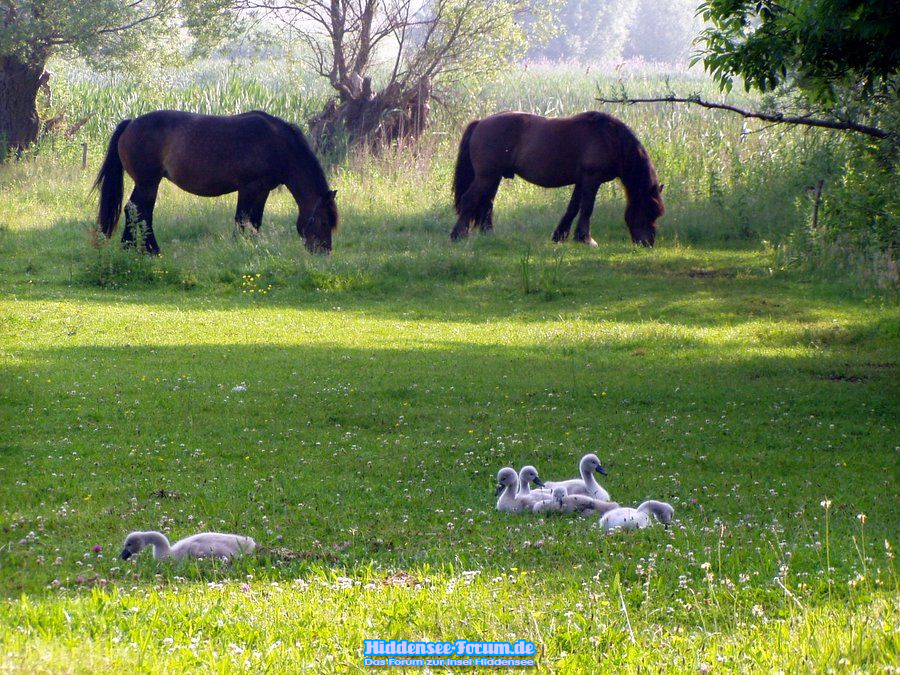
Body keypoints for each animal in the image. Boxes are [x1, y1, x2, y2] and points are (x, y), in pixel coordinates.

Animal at [93, 111, 338, 254]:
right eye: (324, 221)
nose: (324, 252)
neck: (277, 144)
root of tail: (130, 123)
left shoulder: (262, 191)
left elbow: (255, 221)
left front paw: (252, 246)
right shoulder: (248, 188)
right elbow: (242, 219)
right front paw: (238, 247)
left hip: (148, 183)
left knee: (137, 211)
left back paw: (132, 247)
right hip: (148, 182)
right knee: (137, 210)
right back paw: (148, 249)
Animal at [450, 111, 660, 248]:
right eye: (648, 211)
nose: (648, 242)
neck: (610, 138)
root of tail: (480, 122)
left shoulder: (581, 181)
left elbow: (573, 207)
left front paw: (560, 235)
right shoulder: (592, 179)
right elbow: (587, 208)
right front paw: (586, 238)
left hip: (493, 177)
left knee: (487, 203)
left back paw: (488, 235)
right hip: (486, 176)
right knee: (469, 200)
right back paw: (458, 235)